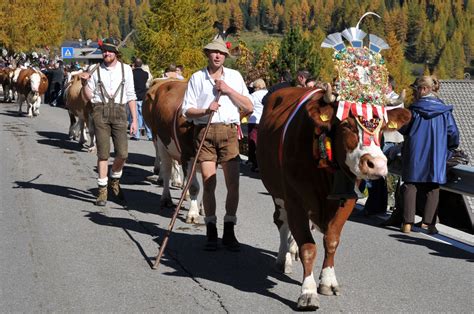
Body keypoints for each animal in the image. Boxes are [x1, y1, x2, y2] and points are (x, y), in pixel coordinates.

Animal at [142, 78, 199, 222]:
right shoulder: (188, 155)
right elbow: (194, 185)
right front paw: (193, 213)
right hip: (161, 142)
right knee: (167, 168)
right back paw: (166, 196)